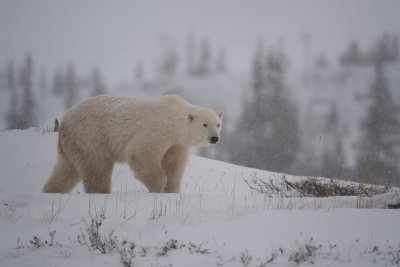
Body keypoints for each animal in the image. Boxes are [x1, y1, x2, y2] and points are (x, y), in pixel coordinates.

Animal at [43, 95, 225, 194]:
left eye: (218, 124)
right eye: (204, 124)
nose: (214, 138)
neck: (173, 120)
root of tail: (65, 120)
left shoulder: (176, 143)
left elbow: (173, 164)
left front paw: (171, 190)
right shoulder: (157, 130)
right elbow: (141, 153)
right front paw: (158, 187)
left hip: (74, 144)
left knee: (65, 169)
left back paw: (51, 191)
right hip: (90, 136)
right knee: (97, 167)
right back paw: (101, 192)